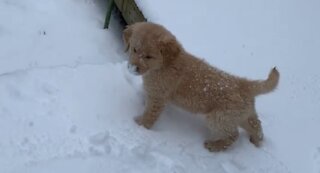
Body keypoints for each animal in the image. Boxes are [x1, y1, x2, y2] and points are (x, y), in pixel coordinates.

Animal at [124, 21, 278, 151]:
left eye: (149, 56)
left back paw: (214, 146)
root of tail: (244, 84)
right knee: (256, 125)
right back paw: (256, 141)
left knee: (233, 135)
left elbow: (150, 114)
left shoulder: (158, 96)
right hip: (241, 115)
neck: (165, 64)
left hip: (218, 118)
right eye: (135, 49)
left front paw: (140, 125)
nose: (133, 68)